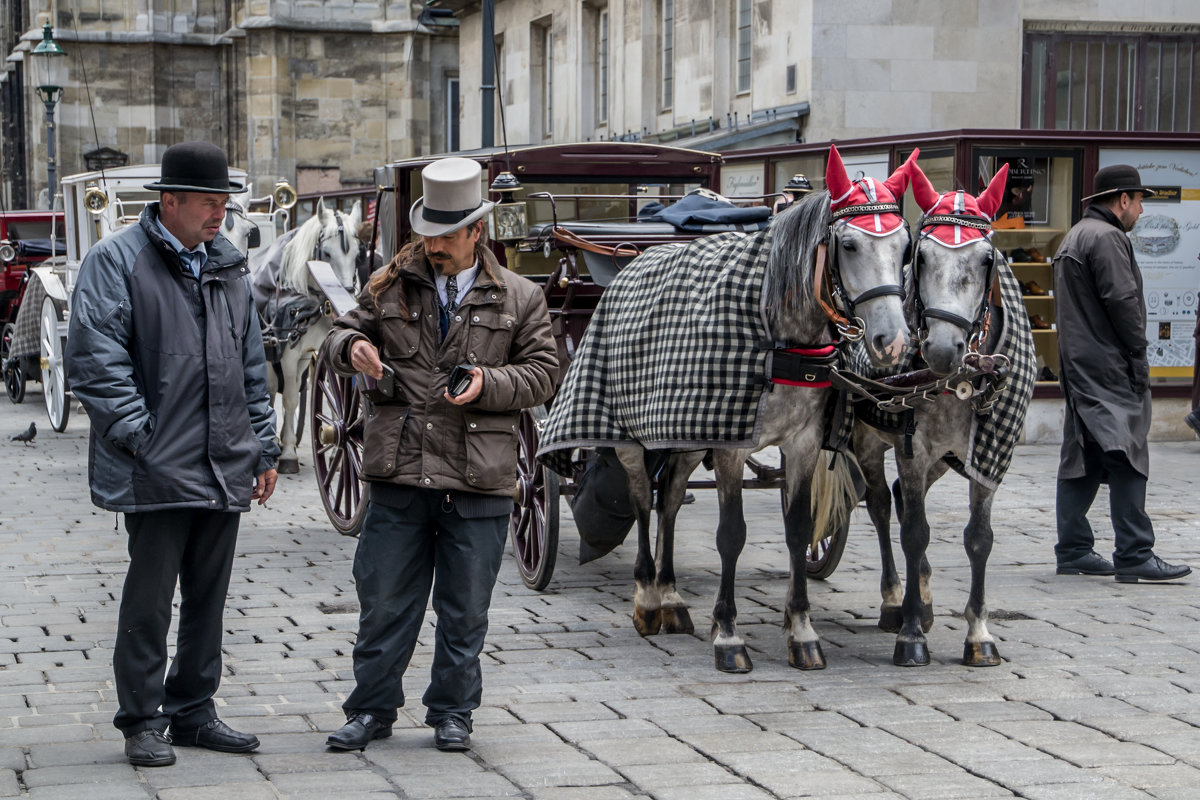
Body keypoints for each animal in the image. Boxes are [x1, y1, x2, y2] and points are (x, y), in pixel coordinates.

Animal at [252, 199, 360, 472]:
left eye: (357, 254)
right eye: (327, 254)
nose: (345, 296)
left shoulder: (324, 349)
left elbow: (333, 395)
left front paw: (334, 453)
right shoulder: (288, 355)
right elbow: (290, 399)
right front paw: (288, 453)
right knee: (272, 391)